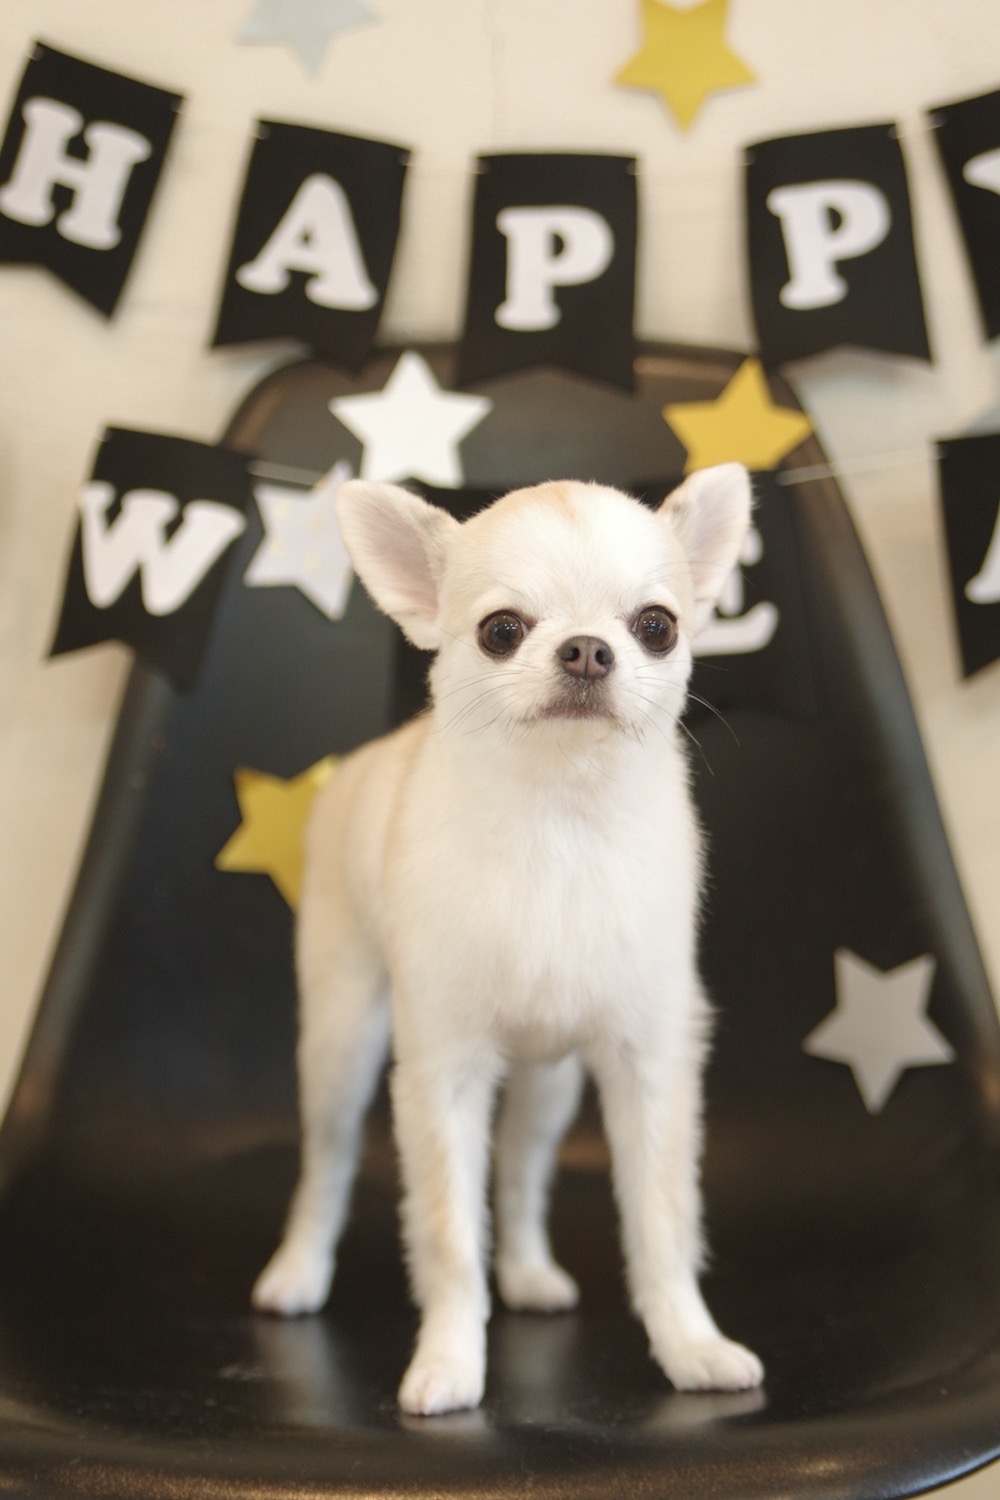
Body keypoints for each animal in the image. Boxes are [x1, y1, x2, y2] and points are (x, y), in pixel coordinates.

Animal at [251, 465, 764, 1416]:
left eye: (657, 626)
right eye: (501, 631)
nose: (589, 649)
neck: (559, 820)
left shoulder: (651, 1066)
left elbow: (663, 1222)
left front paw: (690, 1346)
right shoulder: (441, 1075)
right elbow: (450, 1235)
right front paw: (451, 1362)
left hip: (549, 1078)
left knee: (522, 1171)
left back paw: (527, 1274)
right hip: (341, 1039)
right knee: (327, 1163)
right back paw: (299, 1271)